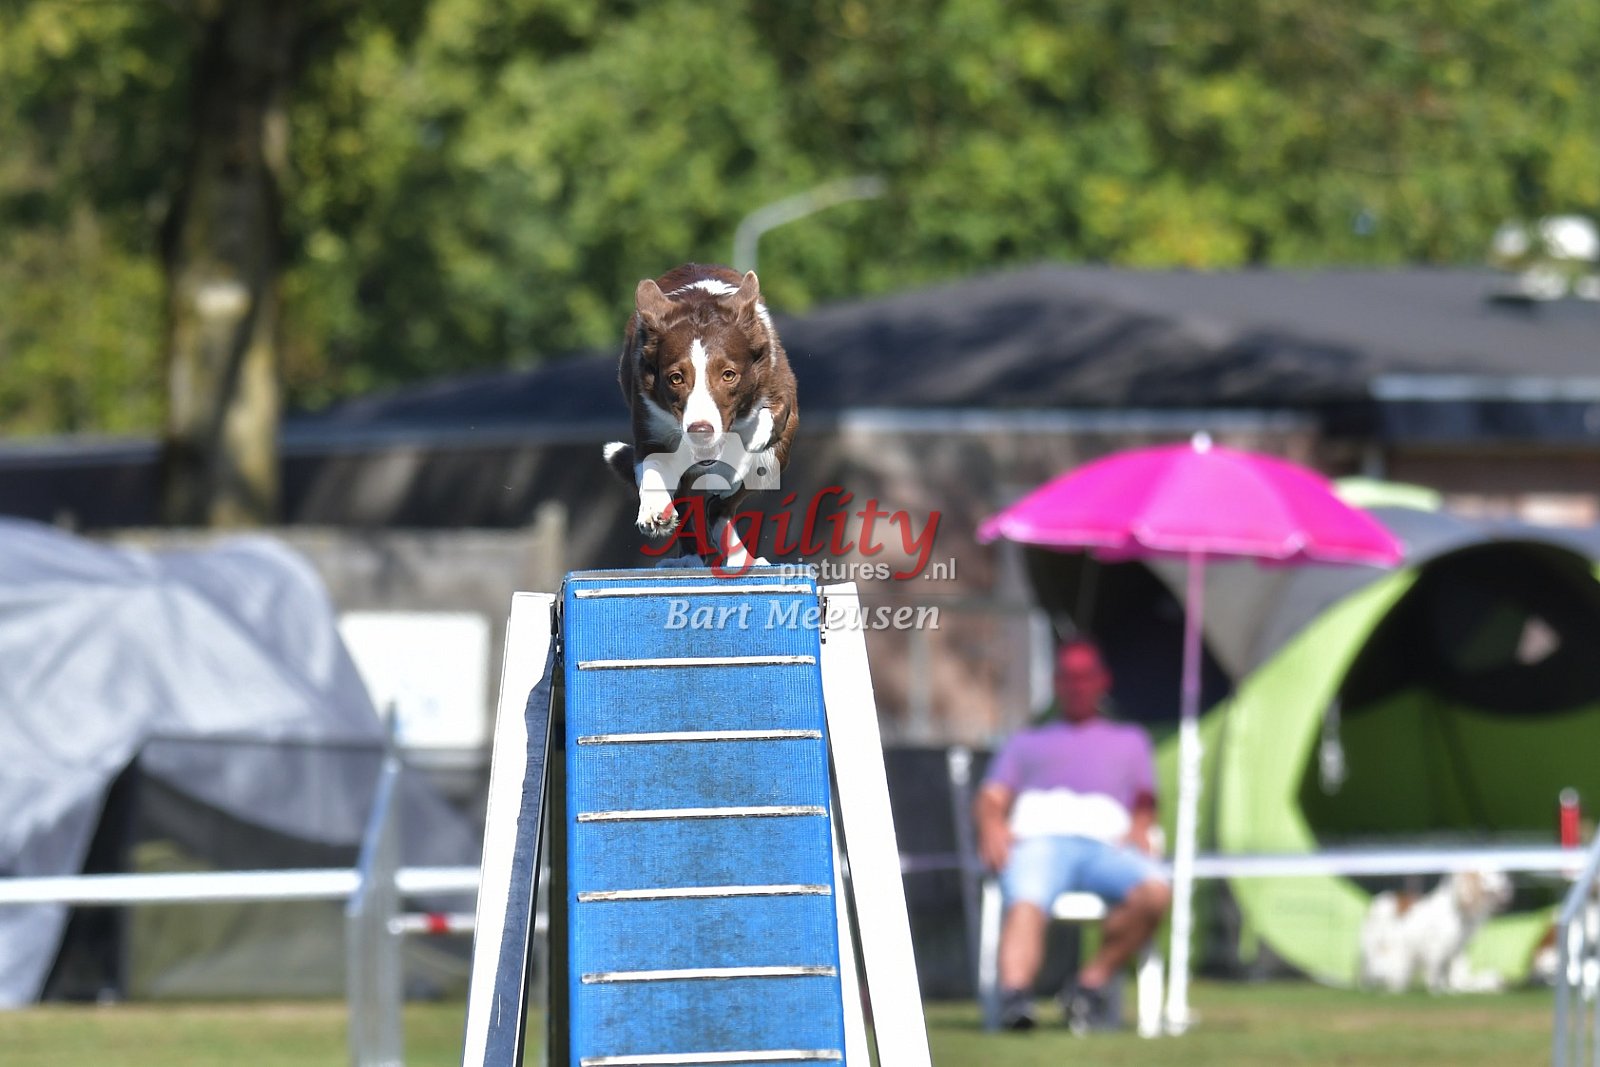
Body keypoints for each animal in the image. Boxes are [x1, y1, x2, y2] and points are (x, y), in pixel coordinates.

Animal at [604, 264, 797, 568]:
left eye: (728, 375)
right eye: (676, 378)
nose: (700, 431)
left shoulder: (780, 388)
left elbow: (765, 420)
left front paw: (737, 454)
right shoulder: (649, 423)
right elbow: (652, 467)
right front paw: (653, 511)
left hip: (774, 460)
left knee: (719, 506)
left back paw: (743, 558)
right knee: (694, 505)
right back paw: (690, 558)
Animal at [1357, 869, 1513, 993]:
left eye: (1500, 874)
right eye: (1488, 875)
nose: (1507, 885)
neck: (1457, 910)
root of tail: (1379, 899)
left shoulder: (1455, 949)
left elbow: (1451, 975)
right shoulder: (1437, 948)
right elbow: (1438, 973)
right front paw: (1439, 990)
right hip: (1387, 948)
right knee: (1378, 969)